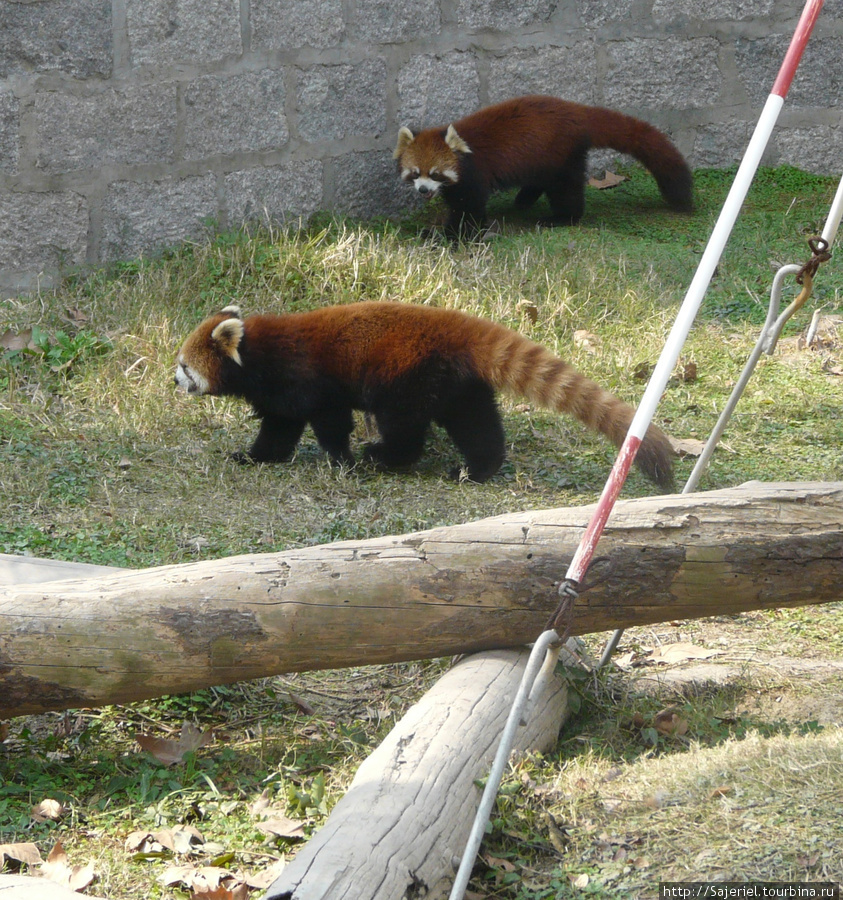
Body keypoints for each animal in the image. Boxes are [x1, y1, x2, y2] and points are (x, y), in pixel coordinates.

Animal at [175, 300, 676, 492]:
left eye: (183, 366)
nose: (175, 382)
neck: (258, 351)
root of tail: (458, 327)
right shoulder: (281, 395)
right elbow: (280, 429)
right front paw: (255, 456)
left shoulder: (305, 380)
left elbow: (328, 420)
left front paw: (342, 459)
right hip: (457, 384)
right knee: (476, 425)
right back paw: (476, 469)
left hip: (406, 376)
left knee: (403, 426)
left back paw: (383, 456)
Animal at [394, 95, 692, 239]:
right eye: (415, 173)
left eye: (435, 174)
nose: (423, 190)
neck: (464, 150)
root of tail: (578, 111)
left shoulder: (475, 175)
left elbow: (469, 210)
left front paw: (447, 236)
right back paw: (523, 200)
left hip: (560, 155)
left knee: (565, 189)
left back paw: (561, 217)